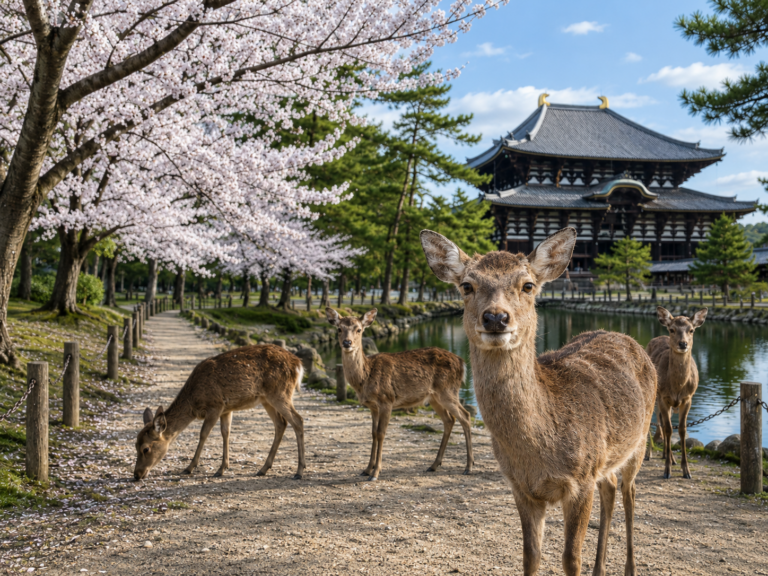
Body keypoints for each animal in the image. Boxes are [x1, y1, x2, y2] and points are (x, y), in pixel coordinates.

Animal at [133, 344, 306, 481]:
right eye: (135, 445)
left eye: (146, 449)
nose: (137, 474)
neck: (193, 401)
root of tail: (298, 364)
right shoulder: (226, 409)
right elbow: (225, 433)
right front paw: (222, 468)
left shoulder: (215, 405)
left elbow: (203, 434)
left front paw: (189, 468)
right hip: (266, 399)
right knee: (281, 423)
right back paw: (263, 469)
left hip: (280, 393)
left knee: (298, 420)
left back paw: (299, 471)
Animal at [325, 307, 473, 481]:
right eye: (339, 329)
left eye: (359, 329)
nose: (347, 343)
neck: (365, 378)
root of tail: (462, 363)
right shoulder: (373, 407)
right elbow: (373, 433)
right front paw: (366, 469)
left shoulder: (387, 400)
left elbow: (381, 433)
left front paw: (375, 473)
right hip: (434, 397)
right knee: (449, 420)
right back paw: (434, 465)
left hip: (448, 390)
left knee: (465, 416)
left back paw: (469, 467)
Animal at [420, 227, 656, 576]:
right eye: (467, 285)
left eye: (528, 285)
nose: (495, 317)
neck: (540, 451)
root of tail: (627, 338)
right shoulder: (521, 487)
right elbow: (530, 555)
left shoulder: (581, 480)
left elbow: (571, 559)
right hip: (605, 457)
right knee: (611, 485)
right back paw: (600, 569)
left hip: (640, 439)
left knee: (630, 492)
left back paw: (629, 568)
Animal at [644, 306, 707, 480]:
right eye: (672, 329)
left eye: (691, 330)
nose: (683, 343)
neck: (677, 387)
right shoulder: (663, 398)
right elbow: (668, 429)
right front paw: (667, 472)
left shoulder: (688, 399)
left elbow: (681, 430)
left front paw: (686, 471)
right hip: (653, 395)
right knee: (656, 422)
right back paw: (649, 454)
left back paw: (669, 456)